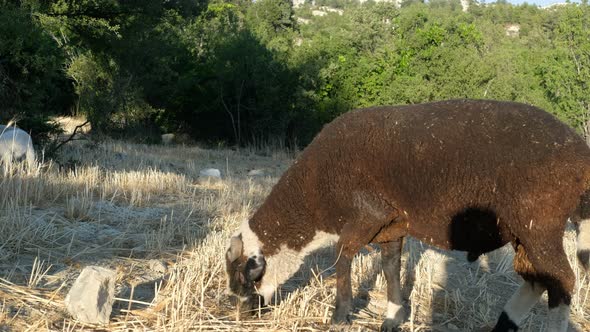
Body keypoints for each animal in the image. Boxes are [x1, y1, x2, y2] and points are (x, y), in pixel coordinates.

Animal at [225, 99, 590, 332]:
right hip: (524, 230)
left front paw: (340, 316)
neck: (314, 195)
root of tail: (581, 153)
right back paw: (503, 325)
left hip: (539, 224)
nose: (243, 316)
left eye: (245, 276)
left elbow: (342, 258)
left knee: (562, 280)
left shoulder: (368, 214)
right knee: (536, 278)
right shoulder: (390, 226)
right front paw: (392, 317)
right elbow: (390, 269)